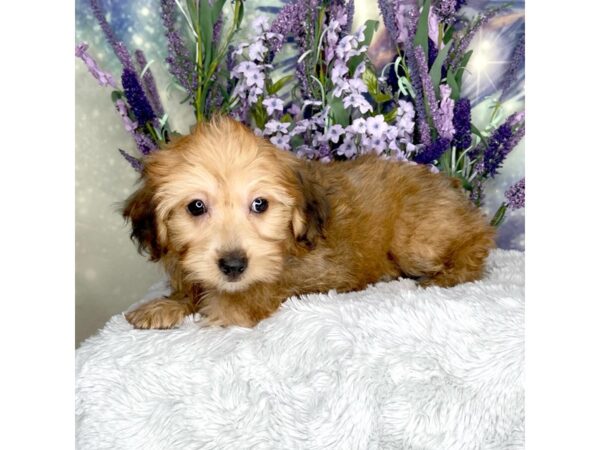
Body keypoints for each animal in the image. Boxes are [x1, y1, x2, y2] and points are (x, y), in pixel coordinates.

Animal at [123, 116, 496, 328]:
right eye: (196, 206)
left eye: (259, 204)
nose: (233, 265)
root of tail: (450, 186)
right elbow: (191, 287)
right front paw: (166, 305)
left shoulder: (320, 271)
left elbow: (266, 287)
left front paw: (225, 306)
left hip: (418, 239)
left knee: (477, 240)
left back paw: (449, 275)